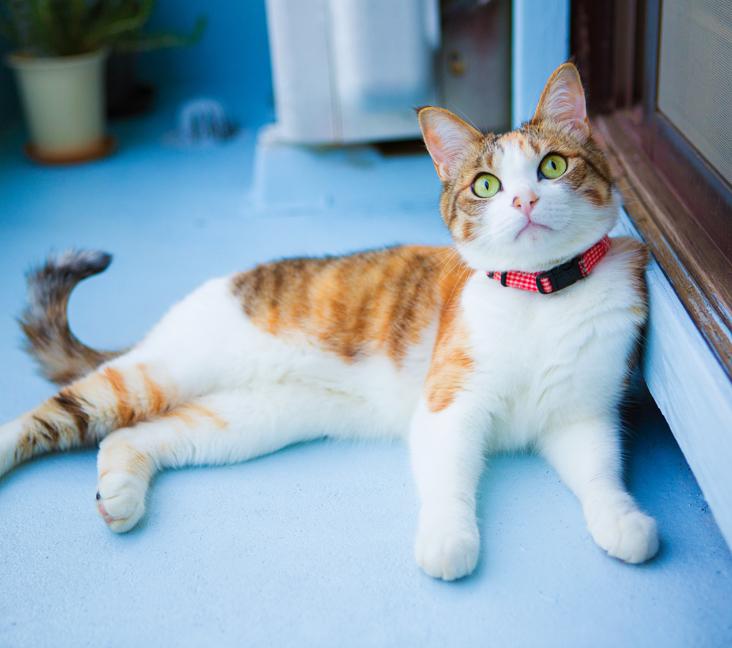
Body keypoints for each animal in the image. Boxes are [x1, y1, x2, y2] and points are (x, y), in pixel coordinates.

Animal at [0, 64, 656, 584]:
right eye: (487, 185)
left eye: (552, 166)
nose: (524, 201)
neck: (539, 296)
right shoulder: (450, 404)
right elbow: (448, 479)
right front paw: (449, 541)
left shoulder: (581, 417)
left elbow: (601, 473)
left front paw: (624, 522)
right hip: (159, 373)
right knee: (58, 414)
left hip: (243, 421)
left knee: (132, 436)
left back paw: (120, 496)